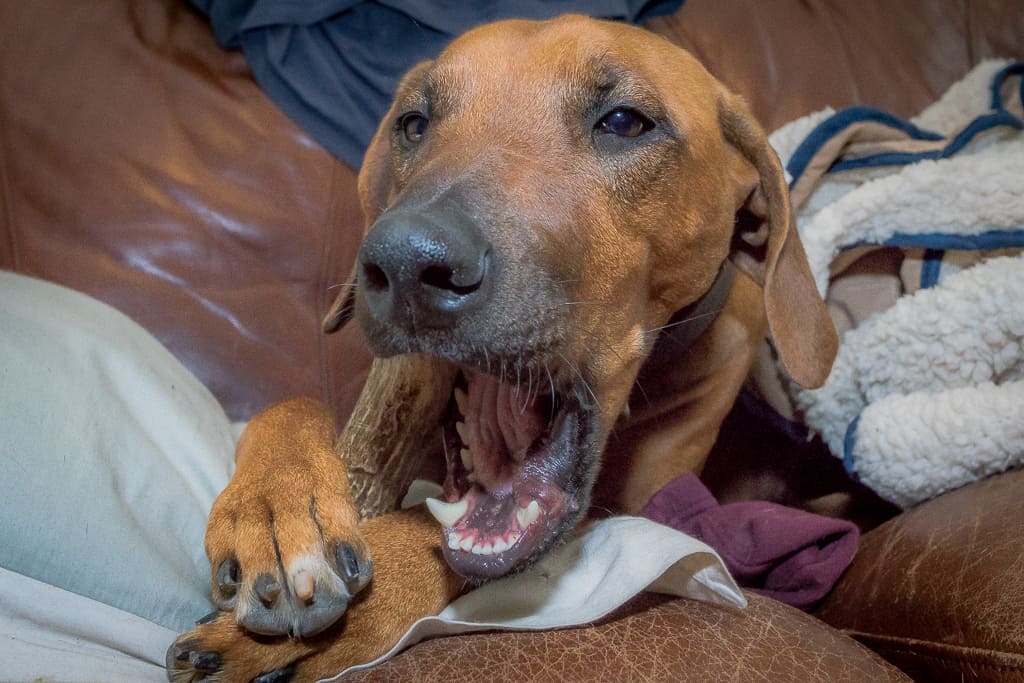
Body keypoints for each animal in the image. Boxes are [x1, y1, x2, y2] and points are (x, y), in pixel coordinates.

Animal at [167, 13, 835, 679]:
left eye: (624, 122)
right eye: (415, 123)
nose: (404, 264)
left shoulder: (646, 502)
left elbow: (429, 526)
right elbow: (293, 407)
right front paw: (276, 507)